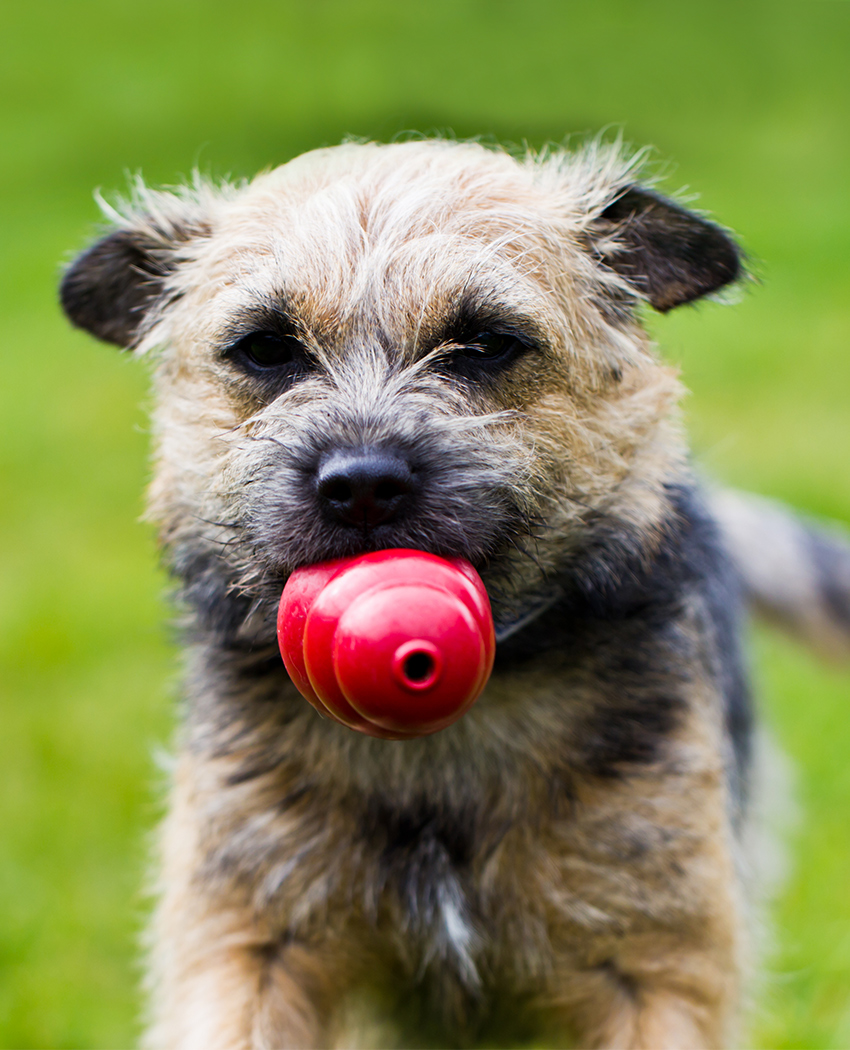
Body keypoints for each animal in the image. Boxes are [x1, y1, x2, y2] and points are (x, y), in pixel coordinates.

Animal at [59, 139, 847, 1050]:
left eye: (486, 344)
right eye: (266, 349)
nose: (361, 484)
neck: (437, 751)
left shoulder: (656, 965)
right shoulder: (249, 945)